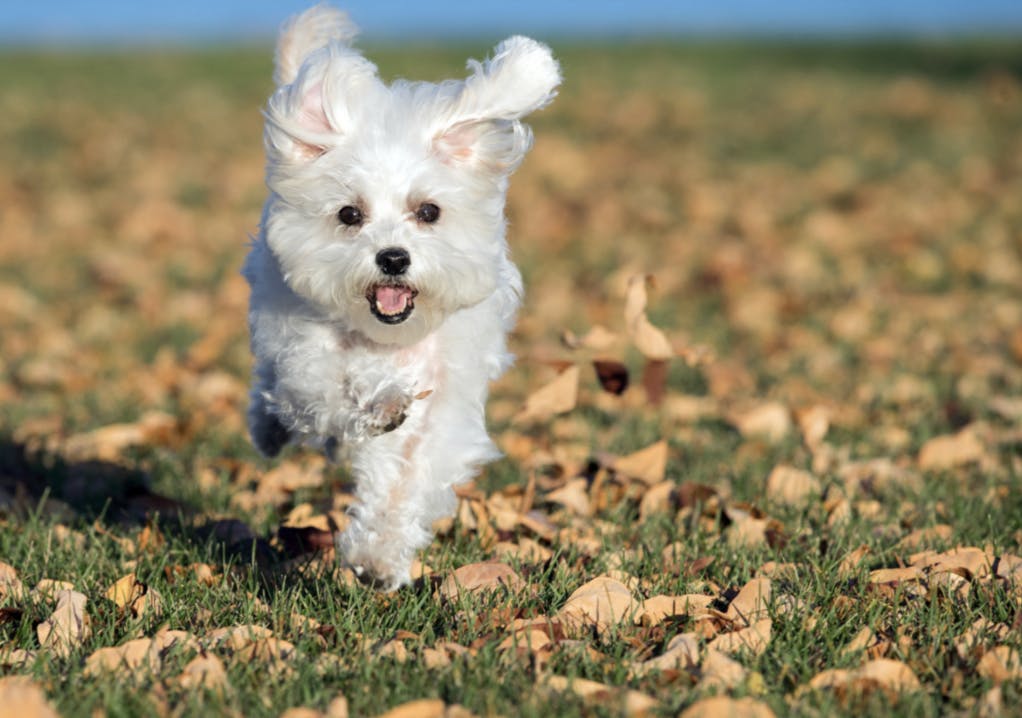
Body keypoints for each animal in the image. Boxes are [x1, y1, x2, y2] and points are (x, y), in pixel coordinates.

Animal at [241, 4, 560, 588]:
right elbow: (331, 393)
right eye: (350, 214)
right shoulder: (306, 363)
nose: (392, 258)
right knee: (271, 393)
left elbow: (407, 477)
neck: (388, 341)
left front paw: (377, 557)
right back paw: (269, 429)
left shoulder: (444, 403)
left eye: (428, 211)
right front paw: (378, 402)